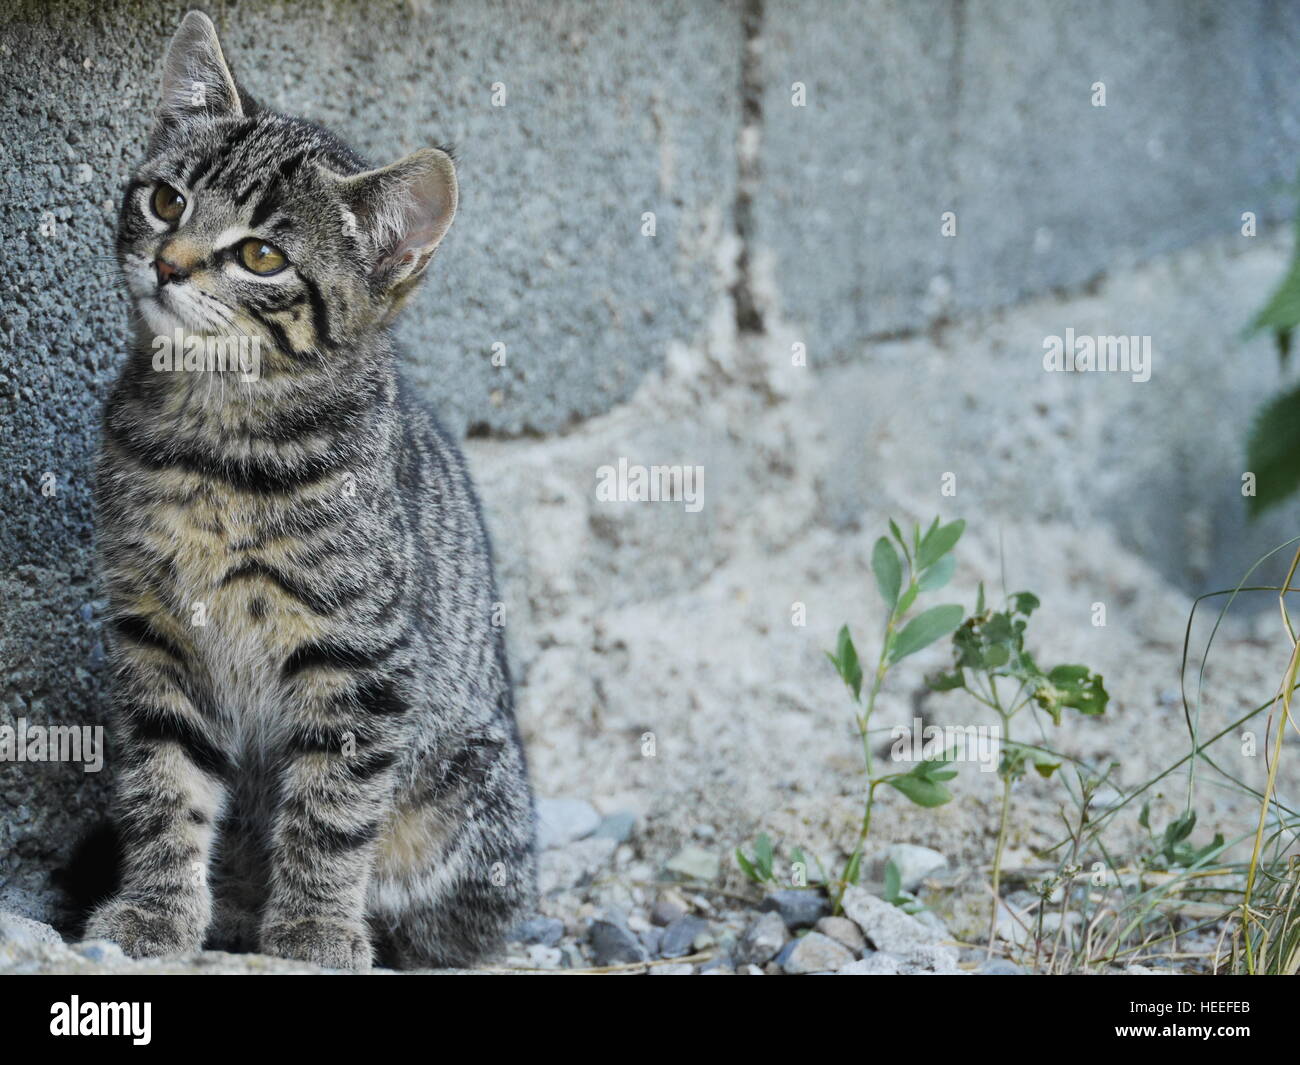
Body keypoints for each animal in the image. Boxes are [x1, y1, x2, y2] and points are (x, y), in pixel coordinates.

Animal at [86, 10, 535, 972]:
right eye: (167, 201)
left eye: (260, 255)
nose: (169, 264)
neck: (214, 437)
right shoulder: (156, 630)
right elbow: (163, 780)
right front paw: (154, 910)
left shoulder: (359, 654)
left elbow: (332, 804)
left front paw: (316, 928)